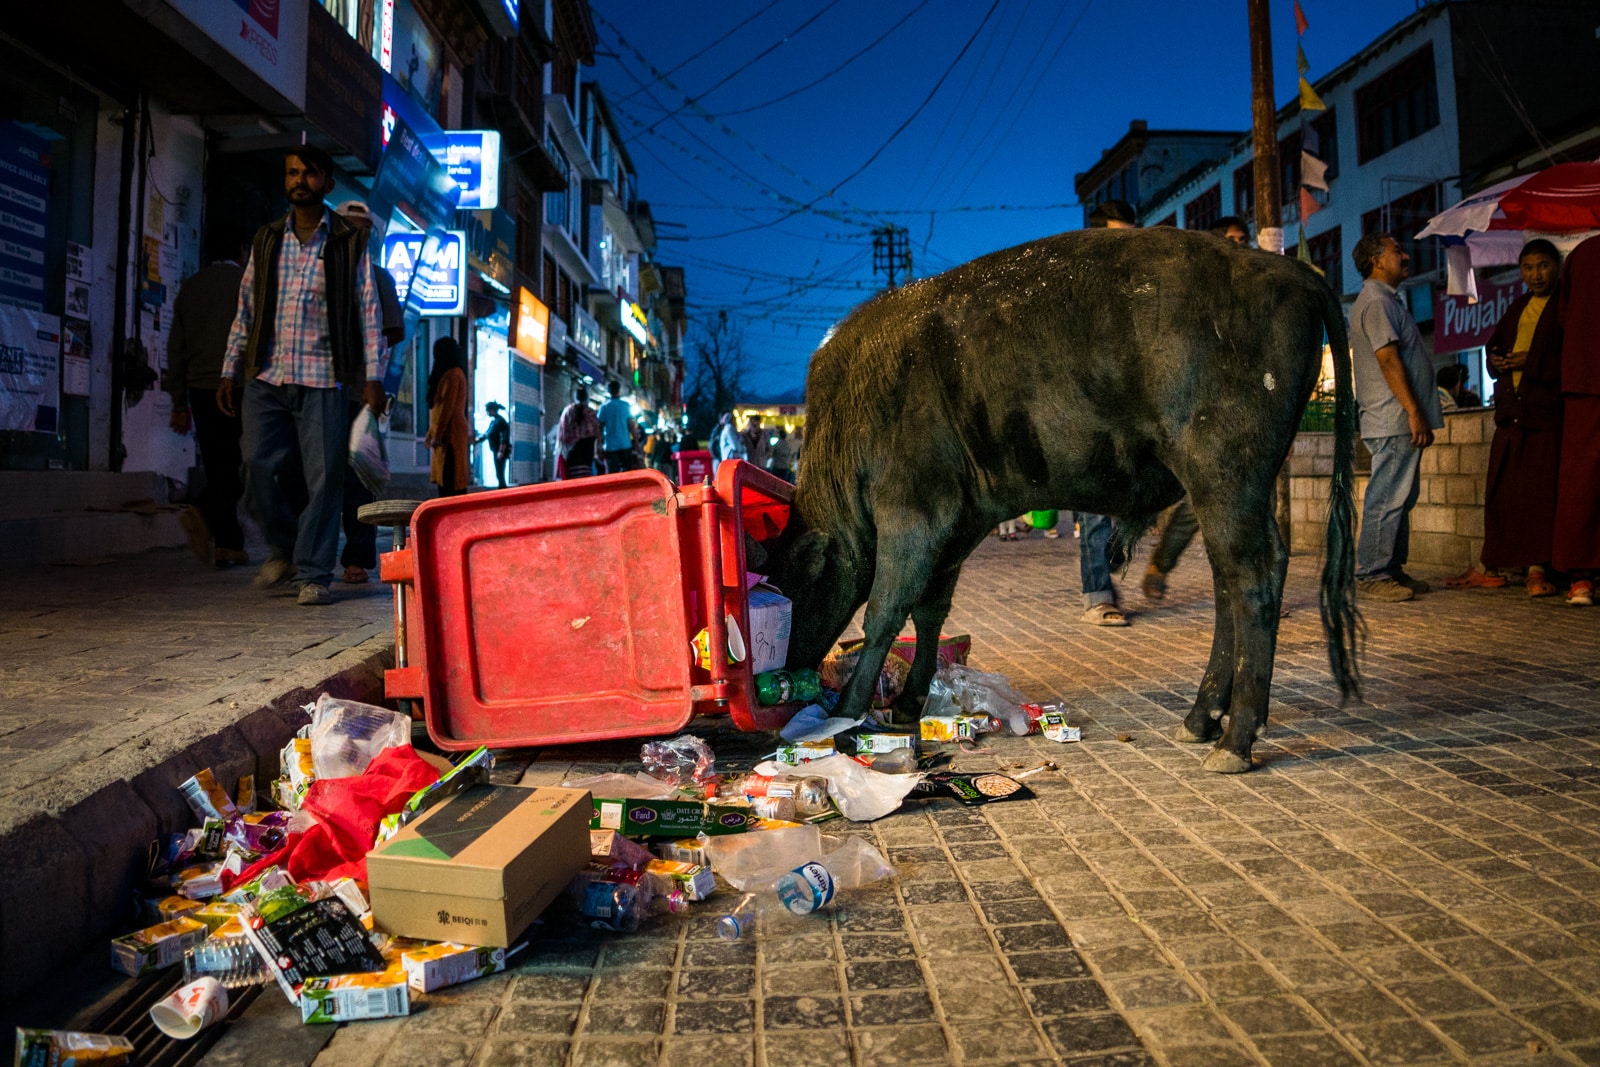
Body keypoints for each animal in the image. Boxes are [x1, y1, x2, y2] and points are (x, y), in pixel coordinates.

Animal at [768, 230, 1356, 771]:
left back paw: (1235, 741)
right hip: (1226, 492)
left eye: (790, 585)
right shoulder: (957, 526)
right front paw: (910, 702)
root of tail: (1289, 270)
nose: (781, 674)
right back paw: (1201, 719)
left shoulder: (913, 514)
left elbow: (886, 611)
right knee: (1229, 581)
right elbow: (930, 610)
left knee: (1251, 577)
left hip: (1225, 480)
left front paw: (847, 710)